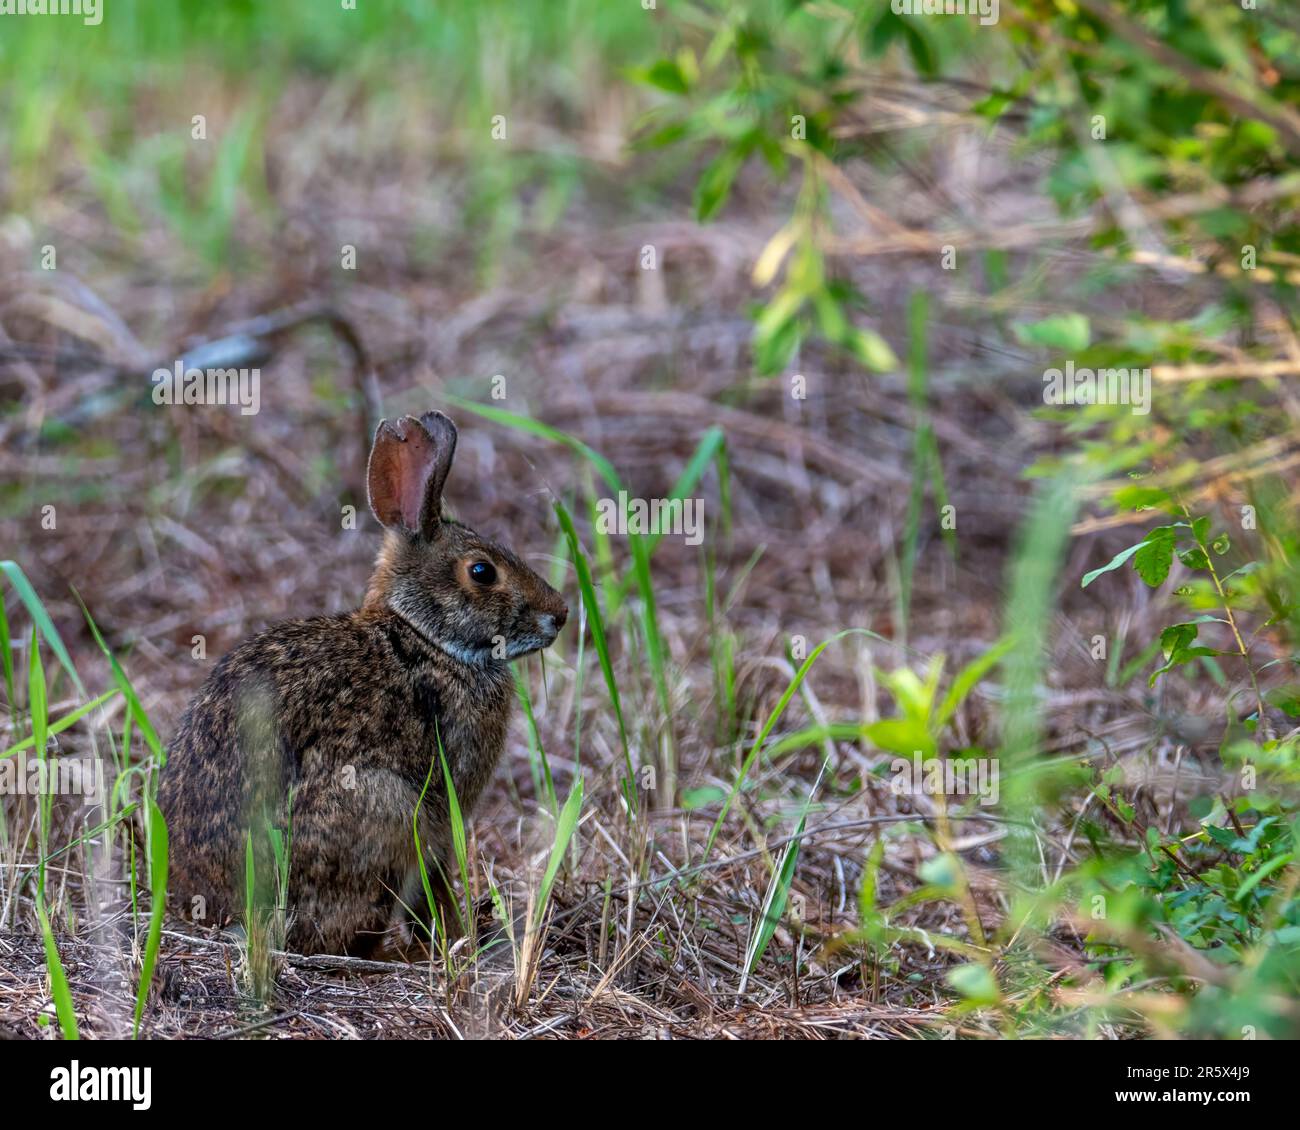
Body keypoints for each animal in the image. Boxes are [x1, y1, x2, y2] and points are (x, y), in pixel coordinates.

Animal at [156, 410, 567, 957]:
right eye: (482, 571)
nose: (561, 614)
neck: (425, 636)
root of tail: (219, 911)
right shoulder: (442, 811)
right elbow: (436, 882)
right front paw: (453, 941)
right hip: (380, 809)